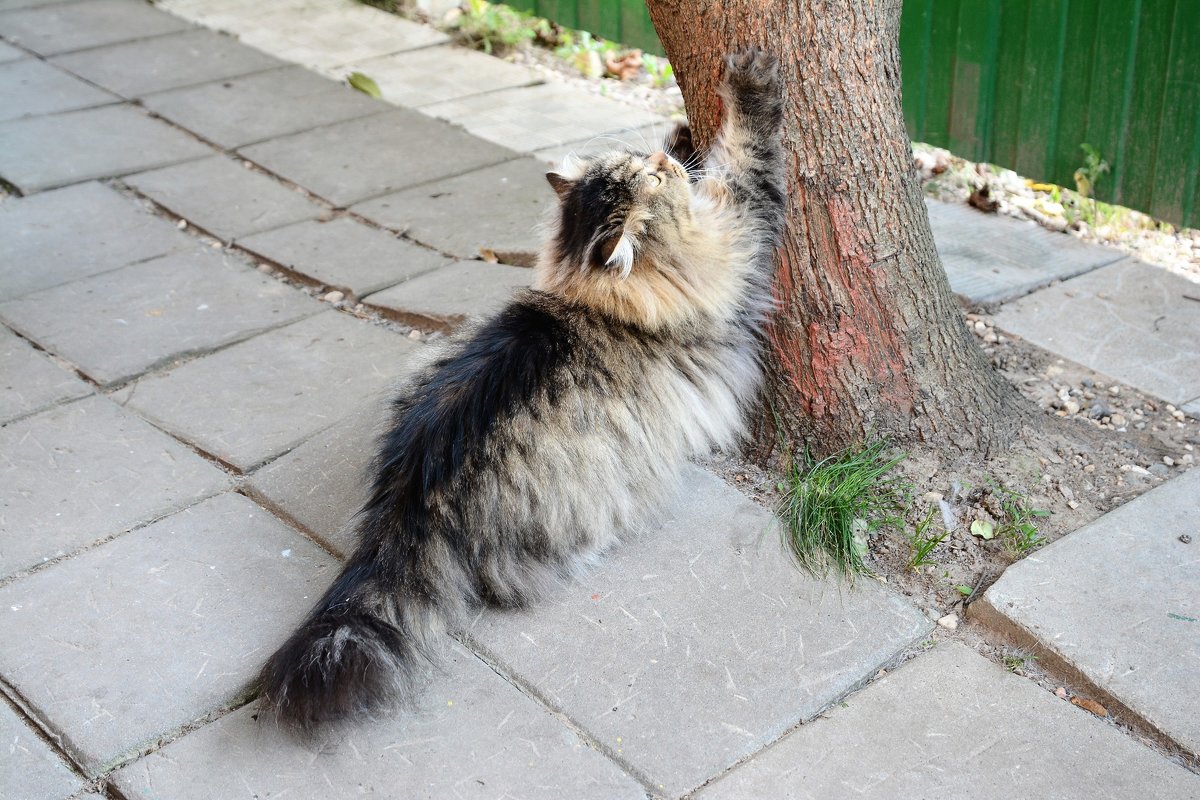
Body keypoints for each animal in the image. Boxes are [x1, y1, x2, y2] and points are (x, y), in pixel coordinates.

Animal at [260, 45, 787, 734]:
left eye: (647, 165)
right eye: (655, 182)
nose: (664, 161)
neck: (594, 296)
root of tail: (411, 501)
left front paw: (680, 129)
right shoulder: (741, 237)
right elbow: (749, 160)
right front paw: (748, 87)